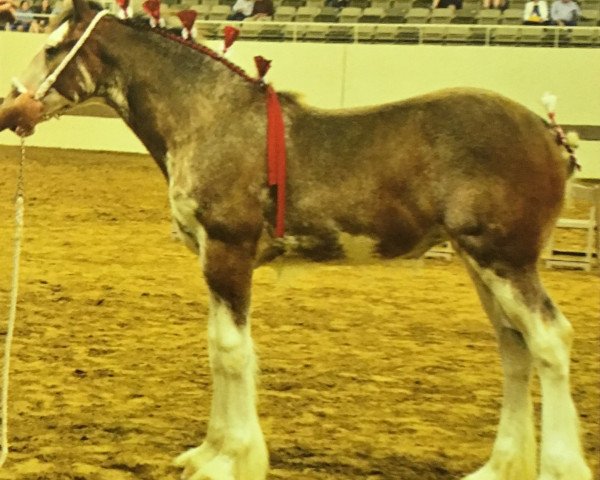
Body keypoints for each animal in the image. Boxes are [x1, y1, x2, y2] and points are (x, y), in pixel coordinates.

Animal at [0, 1, 592, 478]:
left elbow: (233, 352)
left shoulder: (228, 253)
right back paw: (499, 465)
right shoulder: (212, 260)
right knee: (515, 349)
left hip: (505, 260)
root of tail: (550, 133)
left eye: (52, 47)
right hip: (481, 264)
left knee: (549, 341)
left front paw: (232, 459)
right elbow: (217, 348)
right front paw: (209, 451)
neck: (211, 121)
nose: (12, 110)